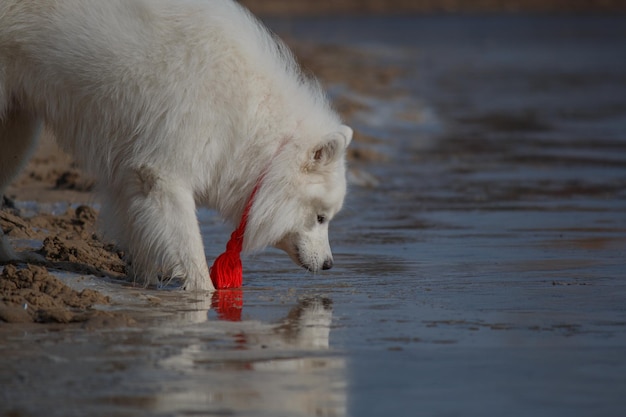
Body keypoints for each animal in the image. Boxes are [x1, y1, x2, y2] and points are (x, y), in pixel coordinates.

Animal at [0, 0, 352, 290]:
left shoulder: (130, 176)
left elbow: (140, 235)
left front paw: (144, 283)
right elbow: (189, 247)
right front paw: (204, 296)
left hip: (17, 132)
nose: (329, 264)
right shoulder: (164, 174)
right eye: (321, 218)